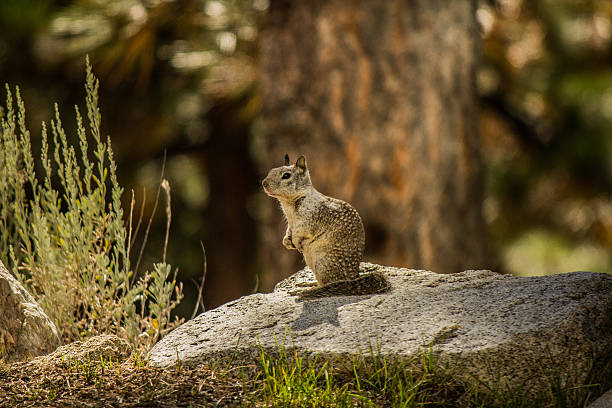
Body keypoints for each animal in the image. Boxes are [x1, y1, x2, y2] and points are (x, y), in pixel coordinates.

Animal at [260, 155, 390, 298]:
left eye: (286, 175)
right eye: (271, 171)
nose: (264, 183)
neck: (289, 204)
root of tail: (352, 277)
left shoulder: (309, 221)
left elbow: (300, 231)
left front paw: (295, 242)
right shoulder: (291, 224)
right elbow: (289, 231)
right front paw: (286, 241)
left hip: (322, 264)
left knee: (329, 284)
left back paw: (306, 289)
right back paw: (307, 284)